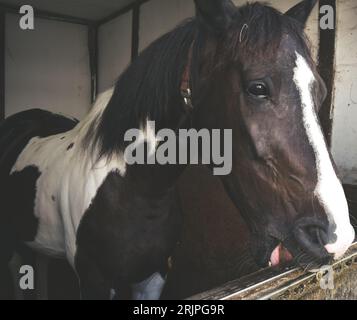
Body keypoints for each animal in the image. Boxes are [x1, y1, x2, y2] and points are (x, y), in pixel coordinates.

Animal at [0, 0, 354, 300]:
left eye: (321, 92)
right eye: (258, 87)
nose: (336, 236)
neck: (135, 190)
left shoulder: (154, 275)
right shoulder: (94, 281)